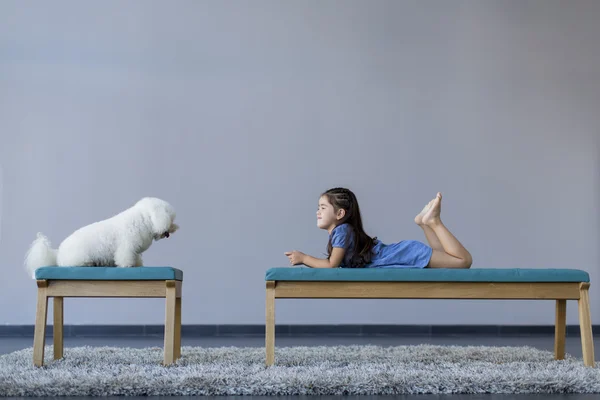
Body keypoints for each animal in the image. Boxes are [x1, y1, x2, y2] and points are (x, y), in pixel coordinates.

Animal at [24, 197, 178, 278]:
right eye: (170, 218)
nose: (173, 228)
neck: (143, 219)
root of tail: (57, 254)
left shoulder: (134, 249)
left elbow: (136, 257)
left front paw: (137, 264)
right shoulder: (126, 246)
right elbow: (125, 257)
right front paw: (128, 265)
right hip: (79, 258)